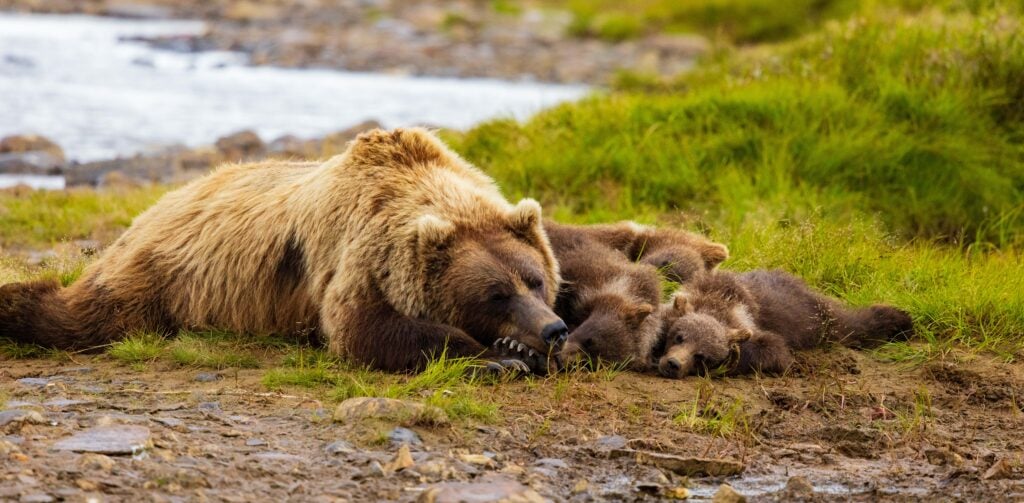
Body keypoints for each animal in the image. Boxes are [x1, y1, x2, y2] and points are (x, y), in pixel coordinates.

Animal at [0, 128, 569, 373]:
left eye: (535, 279)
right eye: (495, 294)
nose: (553, 329)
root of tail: (161, 202)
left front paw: (520, 351)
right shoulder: (356, 256)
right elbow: (364, 330)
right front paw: (497, 357)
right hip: (156, 274)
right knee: (87, 316)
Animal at [657, 269, 914, 378]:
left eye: (702, 356)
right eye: (679, 336)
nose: (673, 364)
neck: (717, 301)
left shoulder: (756, 325)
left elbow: (774, 352)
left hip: (818, 320)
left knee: (853, 324)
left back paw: (900, 322)